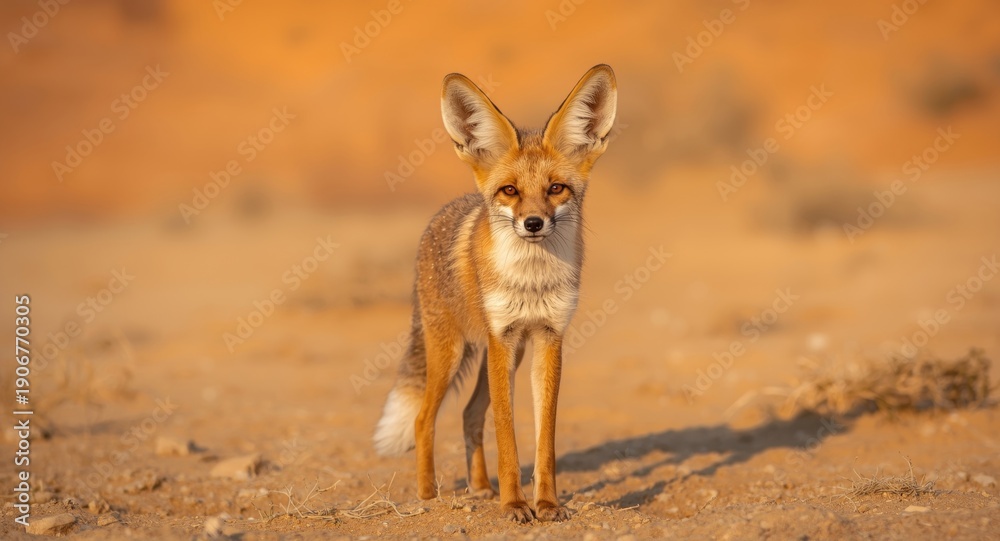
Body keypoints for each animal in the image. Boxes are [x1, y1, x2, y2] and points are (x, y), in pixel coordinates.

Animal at [373, 64, 617, 523]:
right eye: (510, 191)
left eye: (556, 188)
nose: (534, 223)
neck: (531, 281)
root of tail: (439, 217)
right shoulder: (502, 338)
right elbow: (507, 434)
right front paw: (514, 505)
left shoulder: (548, 337)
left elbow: (544, 440)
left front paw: (546, 504)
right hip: (451, 352)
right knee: (423, 420)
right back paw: (429, 496)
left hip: (501, 354)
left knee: (469, 414)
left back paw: (480, 486)